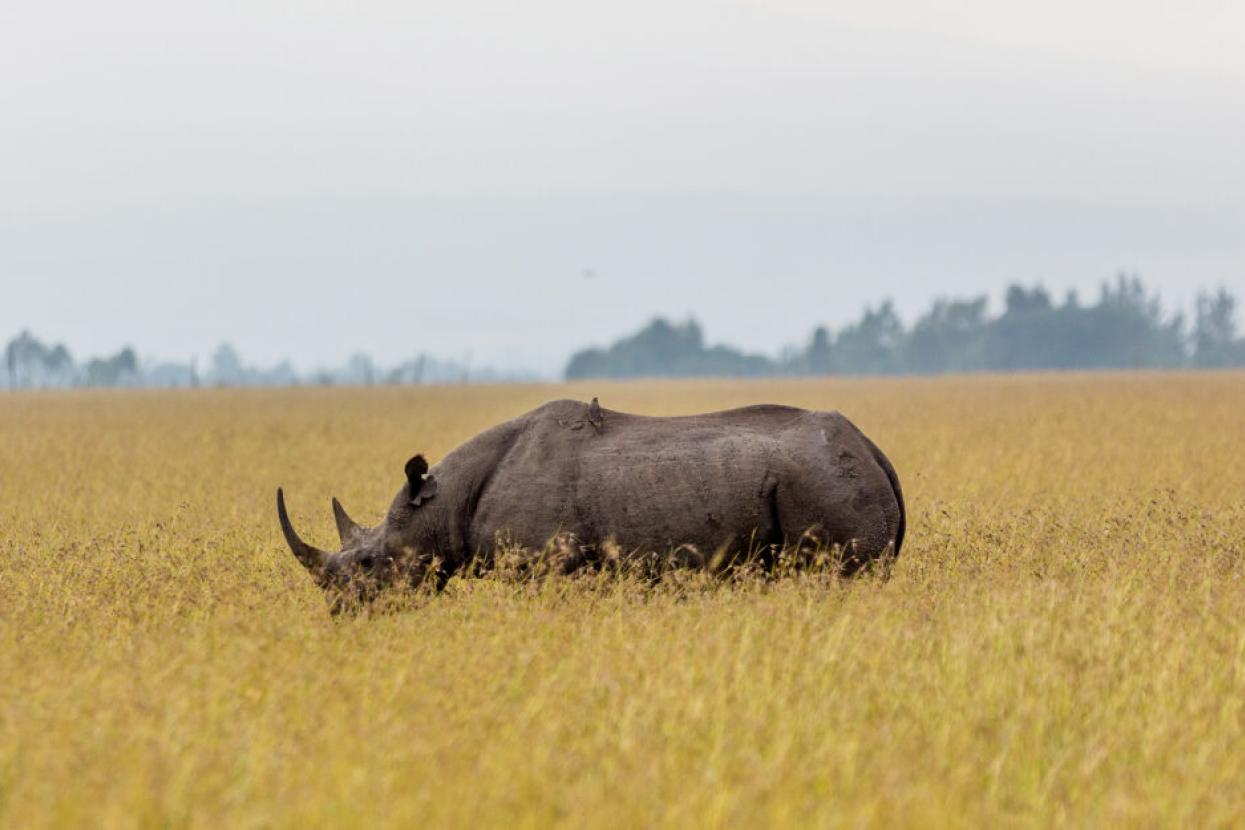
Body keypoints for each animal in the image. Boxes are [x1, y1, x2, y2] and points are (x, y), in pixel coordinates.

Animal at [278, 398, 905, 611]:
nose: (340, 613)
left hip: (827, 479)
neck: (441, 500)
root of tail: (874, 449)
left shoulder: (542, 566)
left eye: (369, 564)